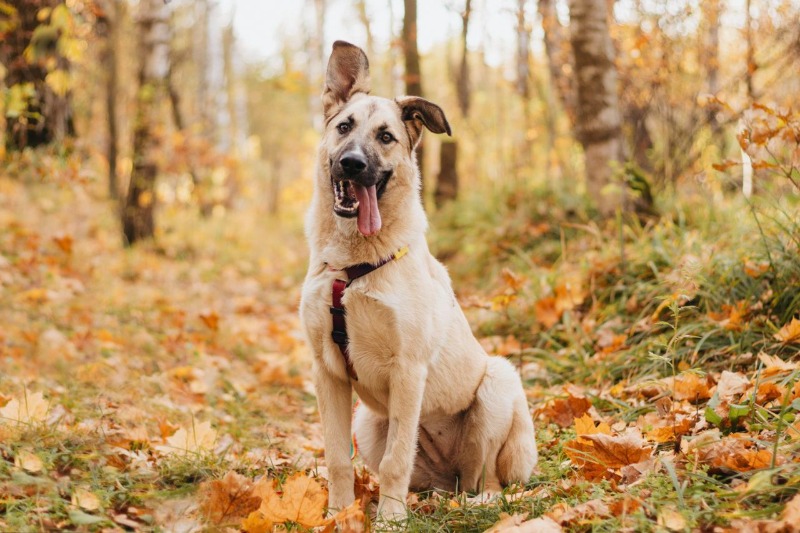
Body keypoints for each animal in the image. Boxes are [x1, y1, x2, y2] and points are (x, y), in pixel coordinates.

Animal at [299, 41, 538, 519]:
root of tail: (450, 480)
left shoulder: (408, 369)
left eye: (386, 137)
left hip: (498, 384)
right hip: (369, 421)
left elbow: (396, 460)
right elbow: (336, 457)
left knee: (486, 475)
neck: (352, 268)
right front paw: (338, 515)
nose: (352, 164)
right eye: (344, 127)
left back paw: (481, 499)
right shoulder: (327, 372)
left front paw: (390, 520)